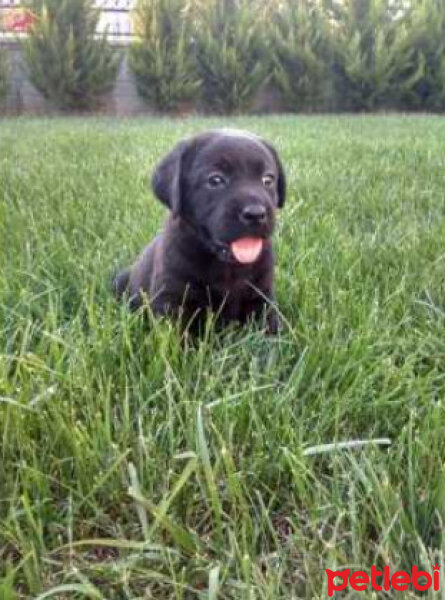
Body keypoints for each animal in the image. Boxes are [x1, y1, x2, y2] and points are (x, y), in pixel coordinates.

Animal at [112, 129, 286, 336]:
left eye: (268, 180)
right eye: (215, 180)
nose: (256, 214)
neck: (227, 265)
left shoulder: (262, 295)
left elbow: (268, 330)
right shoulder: (172, 299)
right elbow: (176, 337)